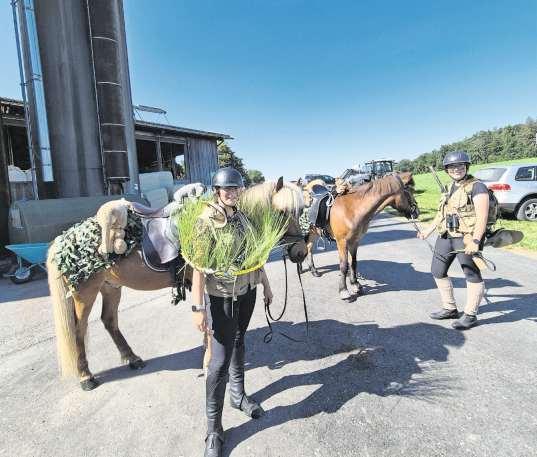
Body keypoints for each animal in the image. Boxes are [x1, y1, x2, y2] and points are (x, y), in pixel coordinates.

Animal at [46, 178, 307, 391]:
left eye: (301, 210)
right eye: (282, 212)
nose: (301, 252)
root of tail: (62, 241)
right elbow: (208, 323)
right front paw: (208, 362)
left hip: (111, 287)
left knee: (109, 321)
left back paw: (132, 359)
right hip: (85, 293)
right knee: (78, 330)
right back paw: (86, 376)